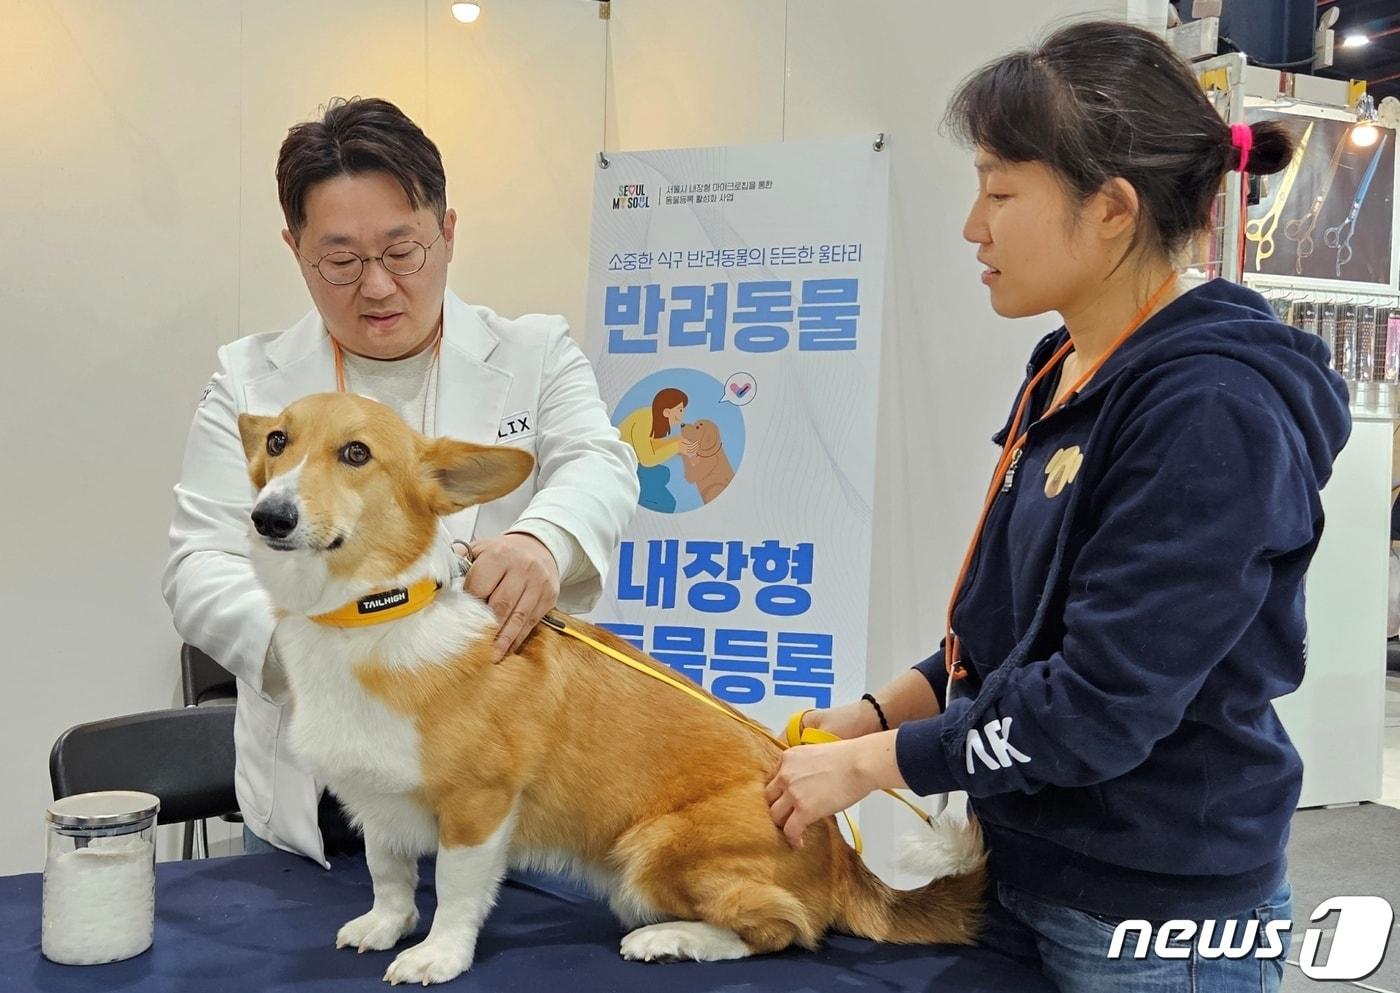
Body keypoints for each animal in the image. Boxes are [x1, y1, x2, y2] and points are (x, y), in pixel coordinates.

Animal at [238, 392, 985, 985]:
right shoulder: (379, 800)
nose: (268, 516)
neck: (372, 614)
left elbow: (453, 888)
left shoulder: (479, 805)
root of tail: (843, 857)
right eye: (278, 441)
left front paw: (438, 955)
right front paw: (385, 925)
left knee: (789, 927)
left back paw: (671, 937)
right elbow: (387, 873)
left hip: (653, 849)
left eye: (356, 453)